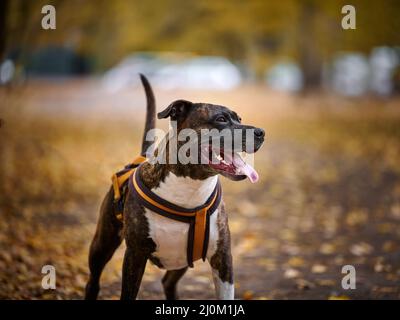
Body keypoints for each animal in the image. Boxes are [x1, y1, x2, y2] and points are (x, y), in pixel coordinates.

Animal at [84, 75, 266, 300]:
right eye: (221, 119)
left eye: (239, 119)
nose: (261, 133)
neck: (191, 186)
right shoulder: (135, 255)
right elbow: (127, 293)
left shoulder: (222, 257)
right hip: (102, 244)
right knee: (93, 280)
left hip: (182, 259)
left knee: (168, 282)